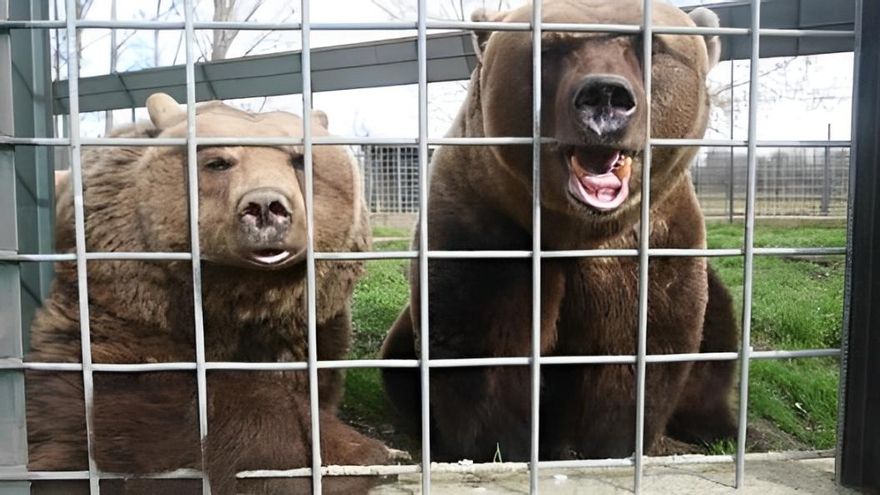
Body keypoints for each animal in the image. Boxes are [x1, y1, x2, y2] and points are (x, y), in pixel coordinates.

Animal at [26, 93, 390, 494]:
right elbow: (119, 393)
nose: (266, 207)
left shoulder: (309, 331)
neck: (238, 298)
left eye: (299, 159)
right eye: (218, 161)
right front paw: (351, 455)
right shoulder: (123, 306)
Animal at [380, 0, 738, 462]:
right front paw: (503, 447)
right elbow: (484, 346)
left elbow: (635, 352)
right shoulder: (488, 227)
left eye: (651, 45)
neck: (575, 230)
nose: (604, 97)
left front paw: (604, 446)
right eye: (547, 48)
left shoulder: (655, 241)